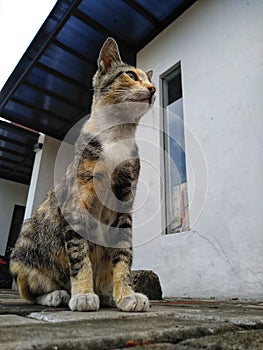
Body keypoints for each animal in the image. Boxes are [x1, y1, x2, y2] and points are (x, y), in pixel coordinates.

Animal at [9, 37, 156, 312]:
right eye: (131, 75)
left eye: (148, 80)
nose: (153, 88)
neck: (116, 137)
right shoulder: (77, 203)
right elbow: (79, 255)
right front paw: (84, 295)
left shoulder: (125, 201)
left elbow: (123, 254)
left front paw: (126, 294)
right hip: (24, 246)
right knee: (28, 290)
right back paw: (58, 295)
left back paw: (107, 294)